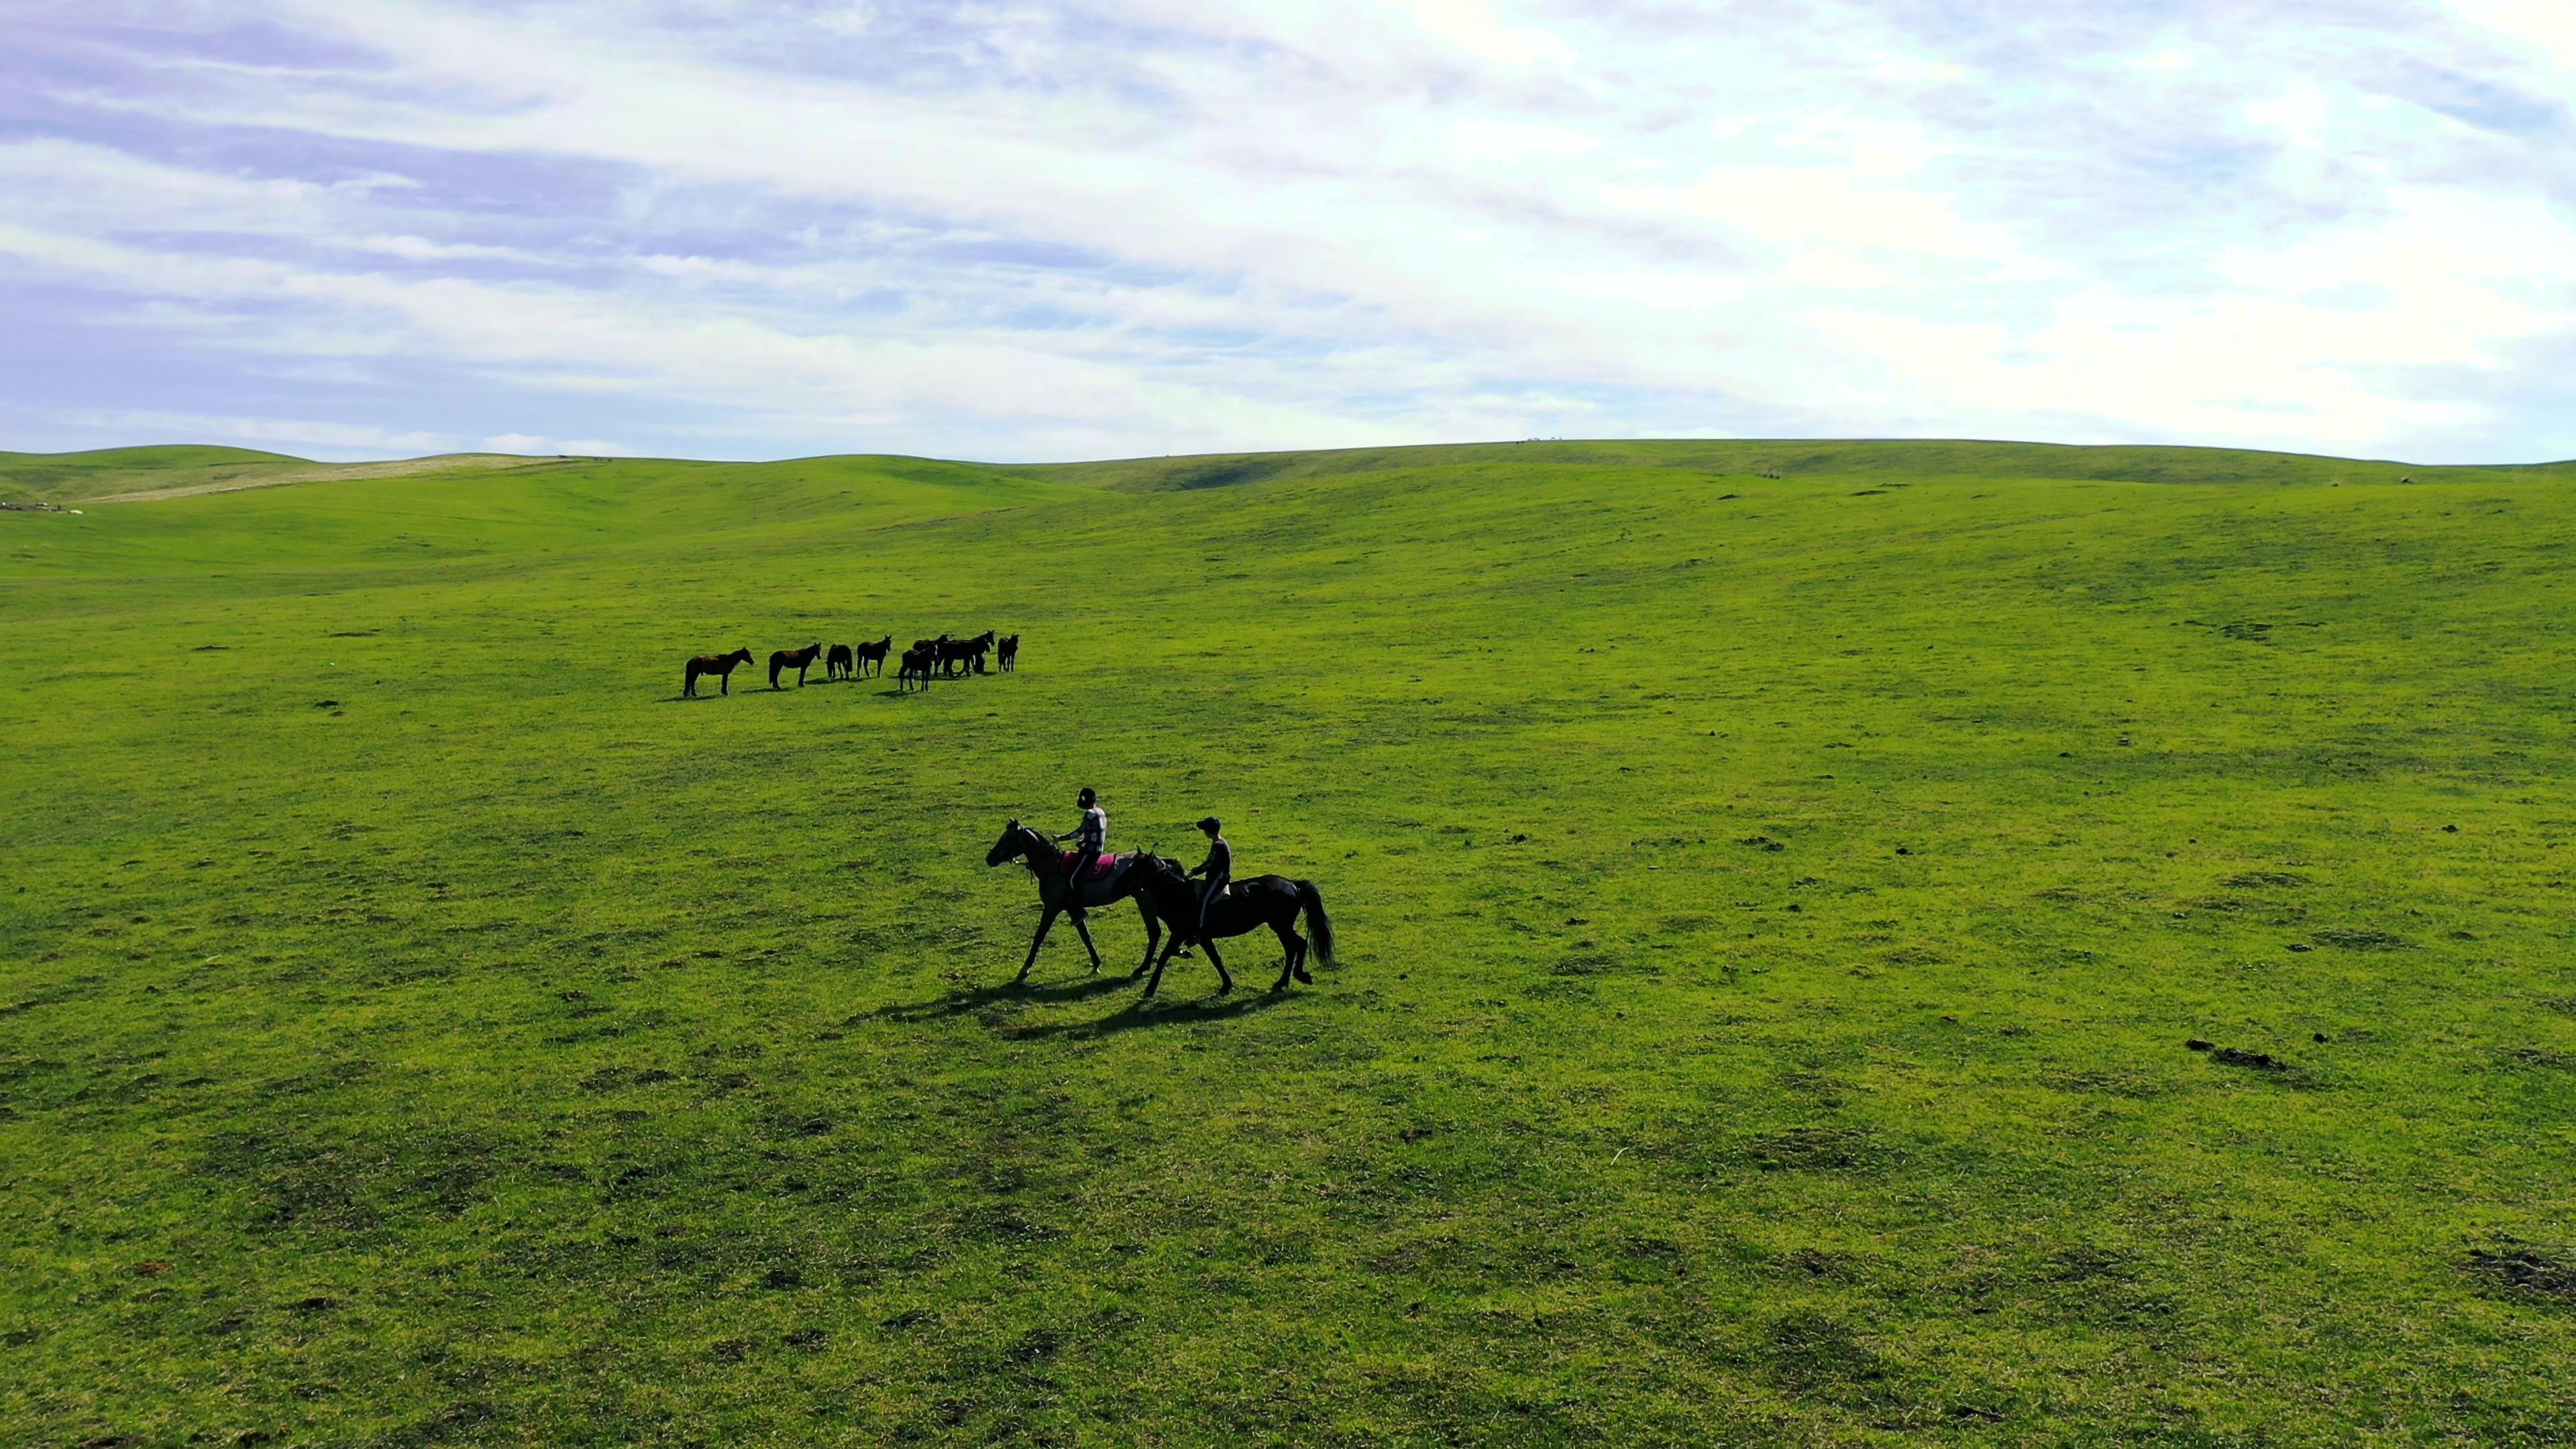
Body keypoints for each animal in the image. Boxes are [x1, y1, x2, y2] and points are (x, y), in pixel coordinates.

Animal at [983, 820, 1169, 974]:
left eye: (1008, 838)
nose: (989, 858)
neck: (1052, 867)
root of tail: (1159, 862)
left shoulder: (1052, 908)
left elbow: (1040, 935)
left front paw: (1025, 969)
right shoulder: (1072, 909)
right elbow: (1085, 935)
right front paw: (1096, 963)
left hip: (1145, 903)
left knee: (1154, 932)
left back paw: (1143, 967)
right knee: (1155, 932)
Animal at [1133, 851, 1339, 1000]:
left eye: (1135, 867)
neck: (1178, 893)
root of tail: (1292, 884)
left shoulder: (1179, 933)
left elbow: (1164, 957)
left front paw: (1150, 989)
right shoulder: (1203, 937)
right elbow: (1215, 959)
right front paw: (1226, 985)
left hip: (1281, 926)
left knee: (1298, 945)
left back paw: (1298, 977)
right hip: (1281, 927)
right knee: (1292, 949)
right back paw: (1282, 983)